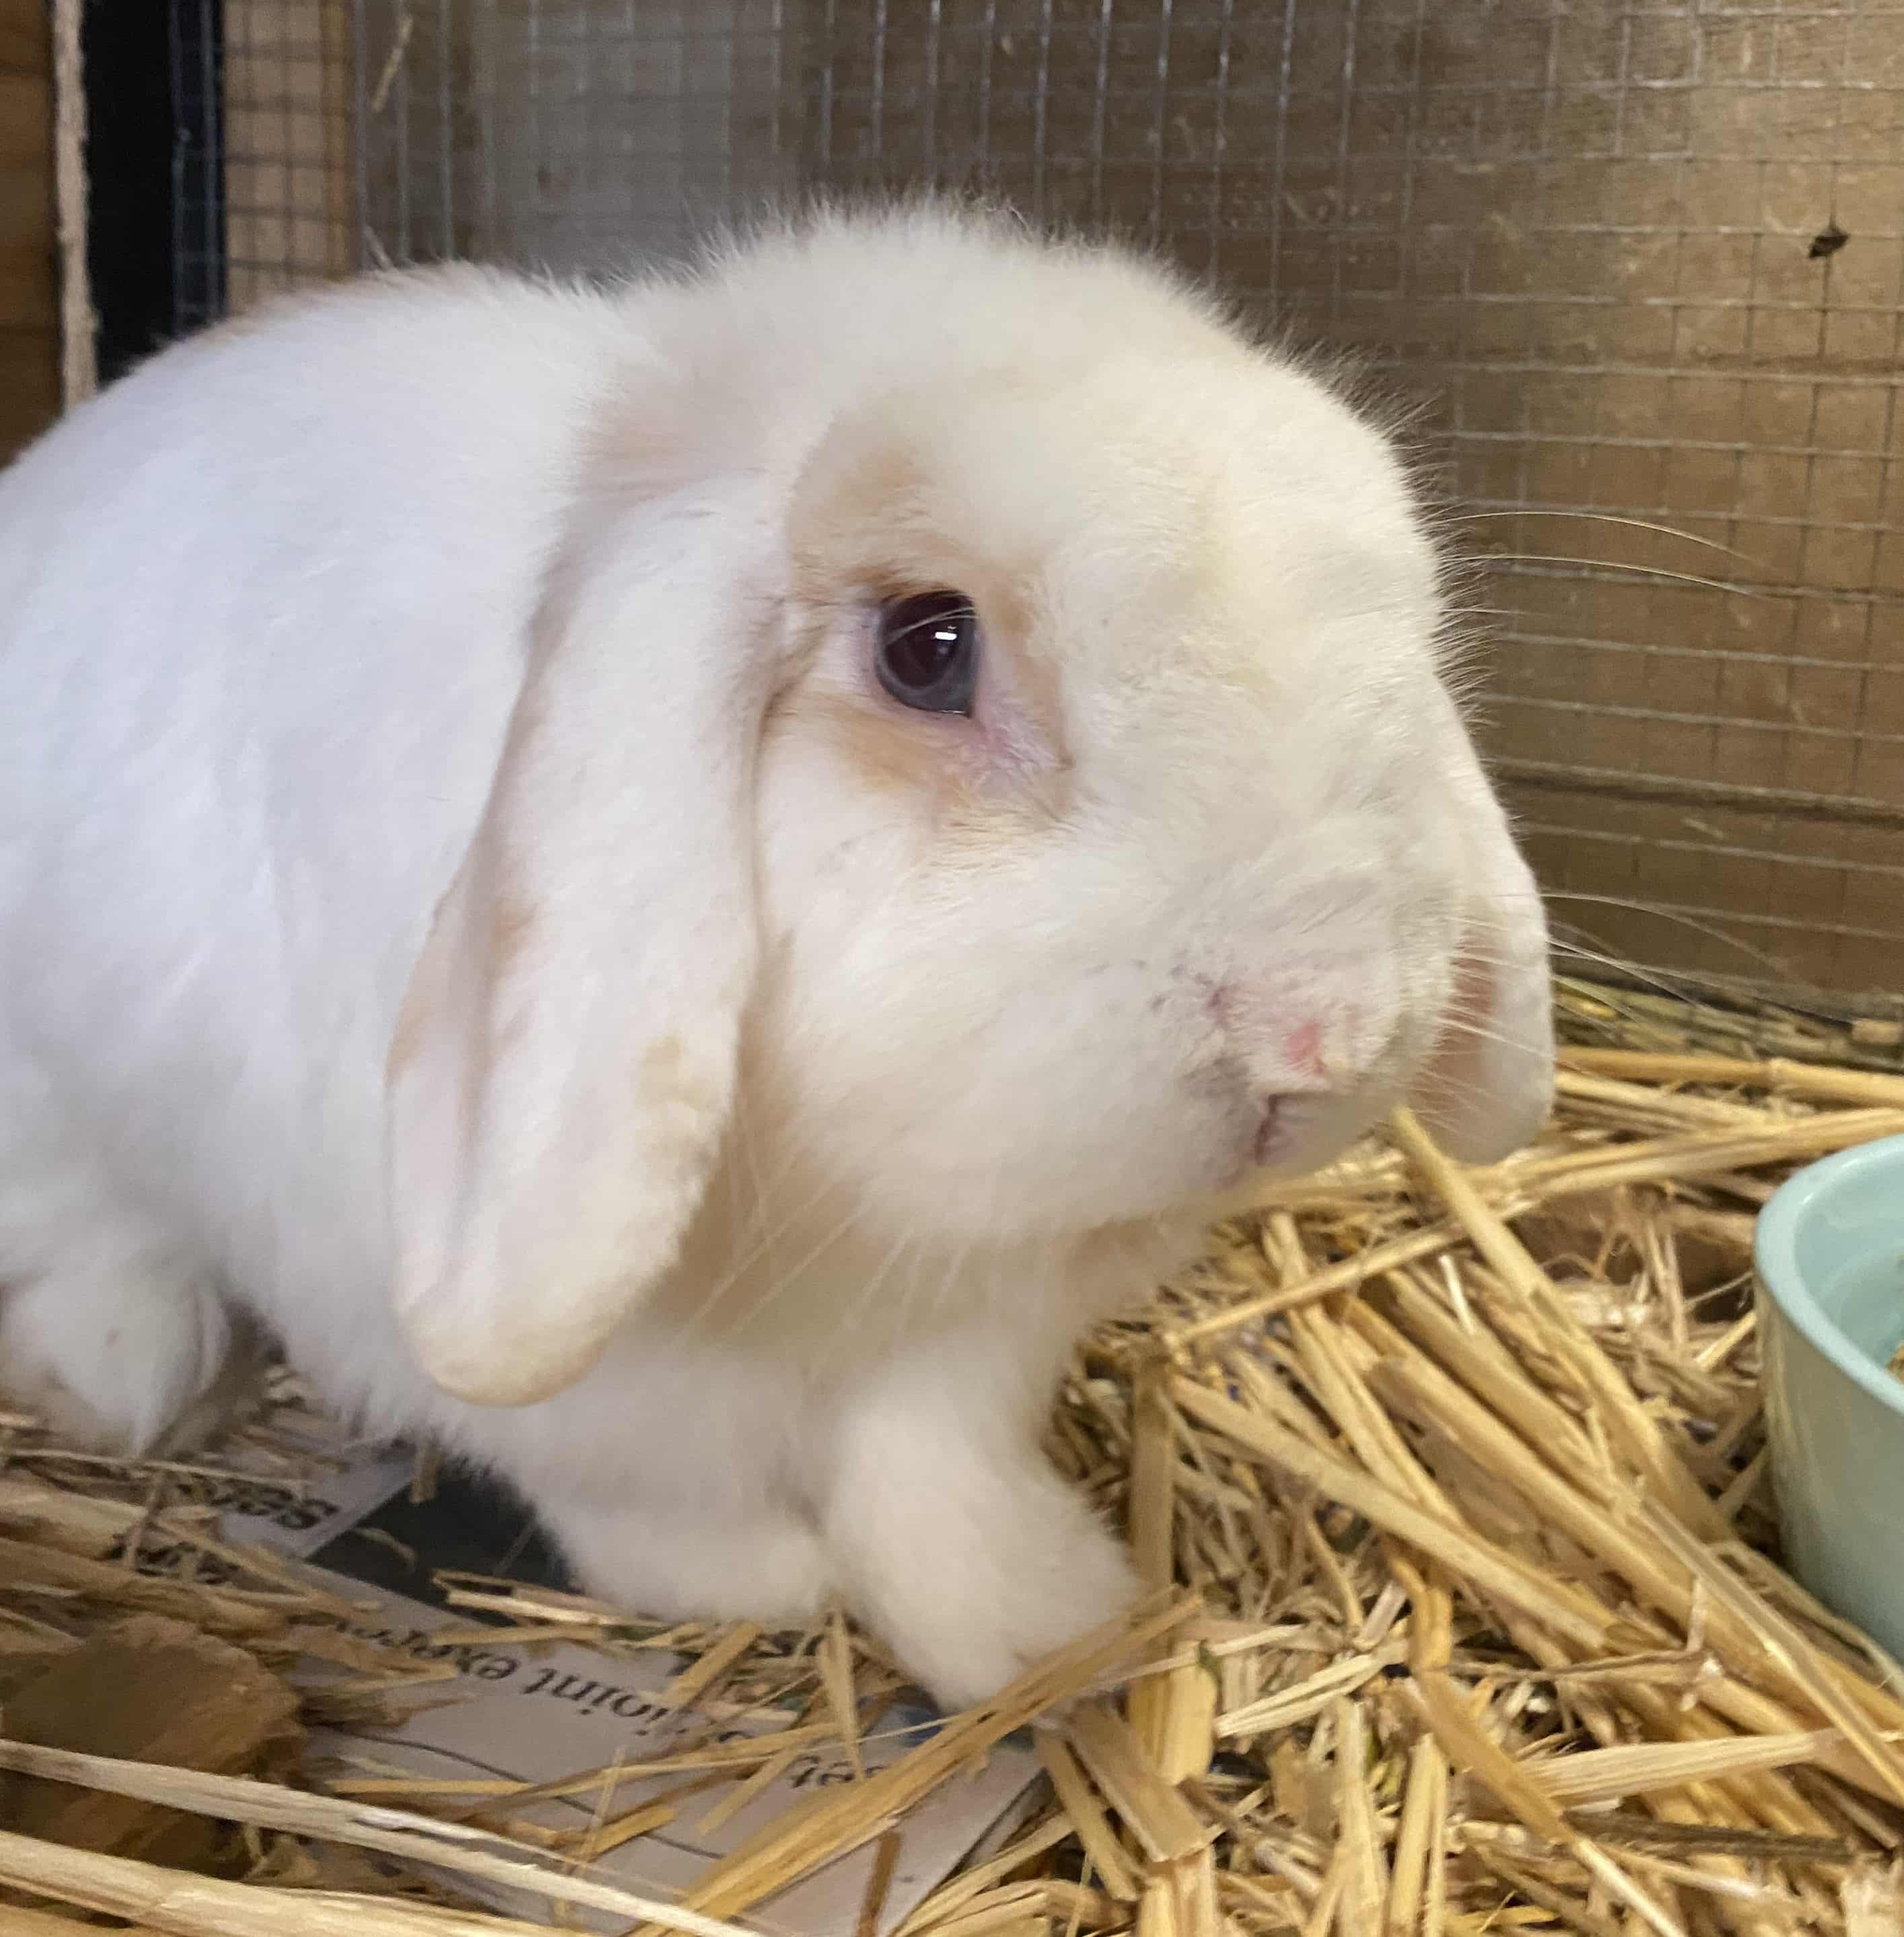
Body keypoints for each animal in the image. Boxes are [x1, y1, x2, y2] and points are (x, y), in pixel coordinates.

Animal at [0, 203, 1553, 1709]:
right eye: (926, 648)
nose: (1318, 1035)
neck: (836, 1237)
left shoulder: (969, 1345)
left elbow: (929, 1481)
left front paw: (1043, 1625)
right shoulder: (599, 1392)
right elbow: (646, 1495)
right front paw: (763, 1585)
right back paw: (131, 1370)